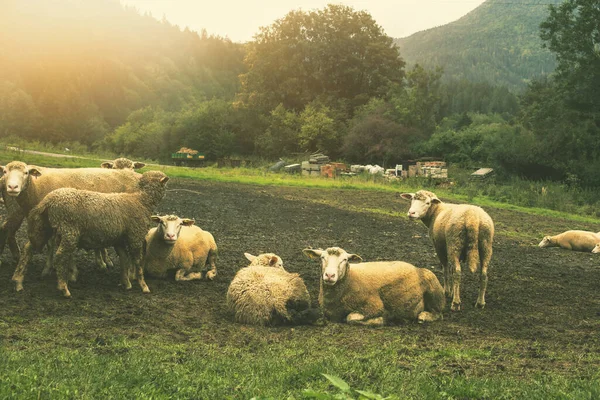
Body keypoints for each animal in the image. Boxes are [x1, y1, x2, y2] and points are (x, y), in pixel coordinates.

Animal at [0, 161, 144, 292]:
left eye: (26, 173)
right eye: (5, 171)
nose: (12, 187)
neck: (36, 187)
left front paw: (66, 271)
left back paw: (130, 274)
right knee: (7, 229)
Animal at [23, 169, 169, 296]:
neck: (142, 200)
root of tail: (48, 200)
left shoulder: (120, 240)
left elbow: (124, 260)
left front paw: (126, 283)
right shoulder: (135, 237)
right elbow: (138, 262)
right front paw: (144, 286)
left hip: (53, 230)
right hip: (69, 231)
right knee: (60, 256)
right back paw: (64, 288)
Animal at [304, 247, 446, 324]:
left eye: (345, 260)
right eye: (322, 257)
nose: (329, 275)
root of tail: (417, 268)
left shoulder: (374, 306)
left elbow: (351, 317)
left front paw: (382, 319)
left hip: (434, 292)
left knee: (438, 314)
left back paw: (423, 316)